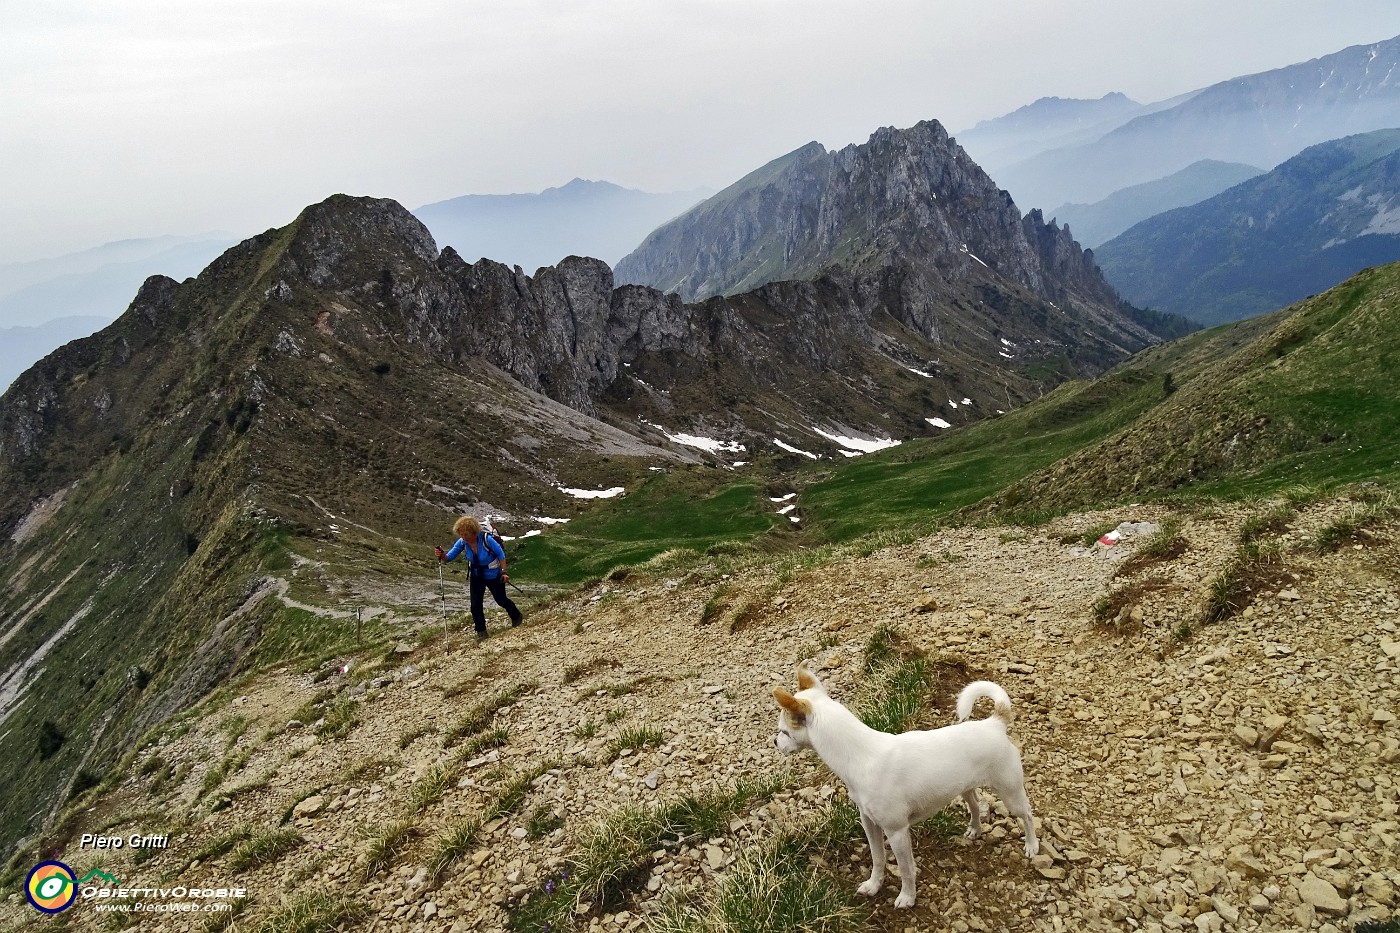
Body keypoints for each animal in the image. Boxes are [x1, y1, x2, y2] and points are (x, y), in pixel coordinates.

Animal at [778, 664, 1041, 902]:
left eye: (783, 731)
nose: (774, 742)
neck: (861, 754)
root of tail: (995, 722)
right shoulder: (869, 823)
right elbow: (878, 858)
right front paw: (874, 885)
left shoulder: (897, 832)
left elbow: (906, 869)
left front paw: (907, 897)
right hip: (965, 788)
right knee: (975, 806)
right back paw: (975, 829)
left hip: (1010, 793)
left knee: (1027, 815)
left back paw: (1032, 845)